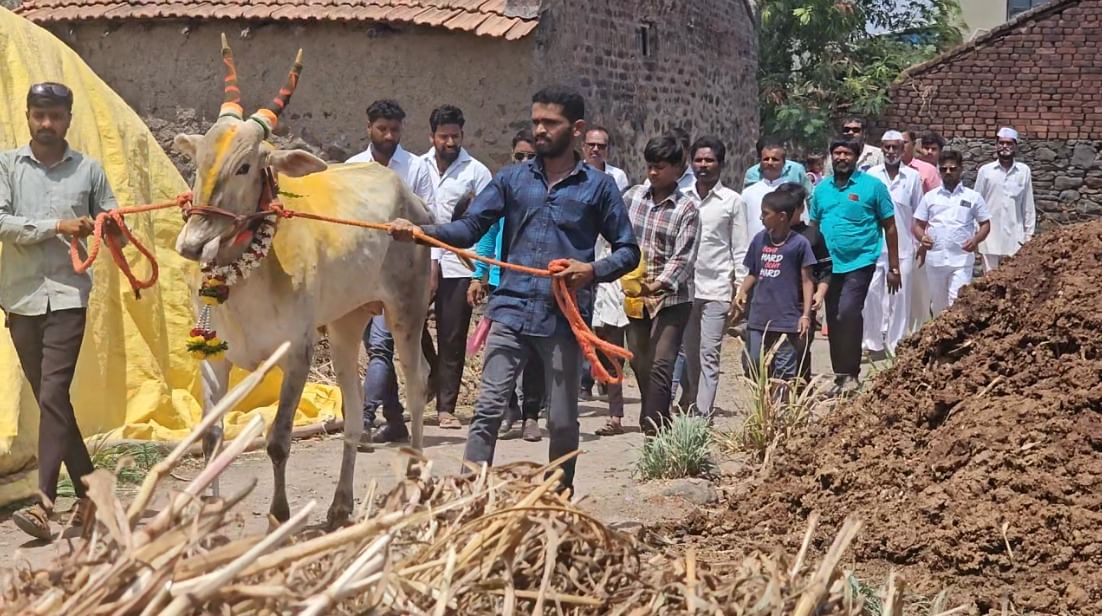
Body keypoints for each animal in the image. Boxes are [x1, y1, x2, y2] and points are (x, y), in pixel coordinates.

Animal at [170, 34, 429, 524]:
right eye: (201, 161)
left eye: (245, 167)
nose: (192, 244)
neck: (248, 275)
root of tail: (411, 200)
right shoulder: (214, 358)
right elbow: (211, 438)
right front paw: (206, 517)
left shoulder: (297, 353)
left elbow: (278, 439)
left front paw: (280, 514)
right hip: (347, 324)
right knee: (353, 409)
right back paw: (341, 504)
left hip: (408, 311)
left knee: (418, 384)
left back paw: (416, 485)